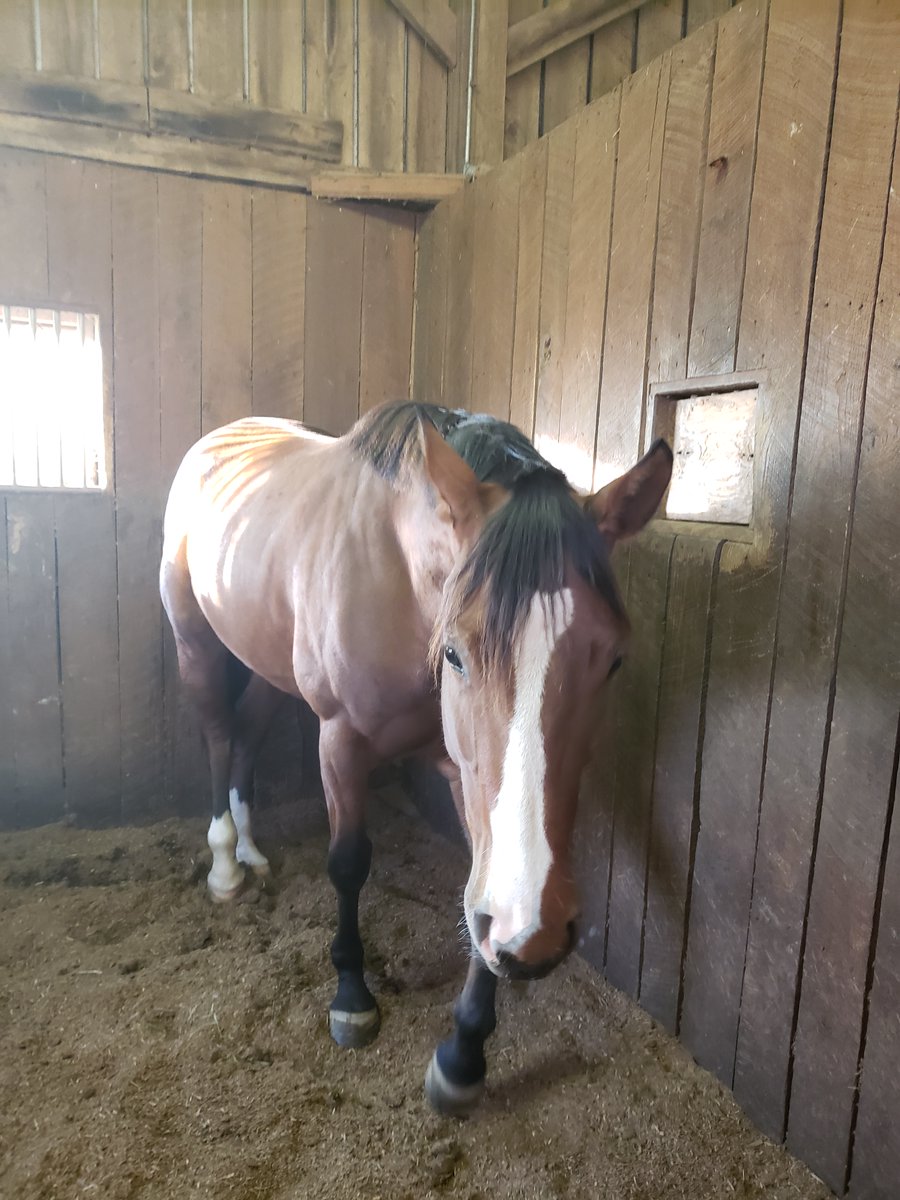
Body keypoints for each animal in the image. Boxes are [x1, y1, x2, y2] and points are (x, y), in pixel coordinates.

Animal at [159, 401, 672, 1114]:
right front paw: (351, 997)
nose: (537, 934)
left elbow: (477, 890)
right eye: (454, 652)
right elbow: (348, 863)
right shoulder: (340, 740)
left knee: (250, 730)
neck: (399, 582)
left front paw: (463, 1053)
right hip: (195, 640)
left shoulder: (464, 774)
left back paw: (253, 849)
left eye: (613, 660)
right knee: (215, 733)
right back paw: (226, 863)